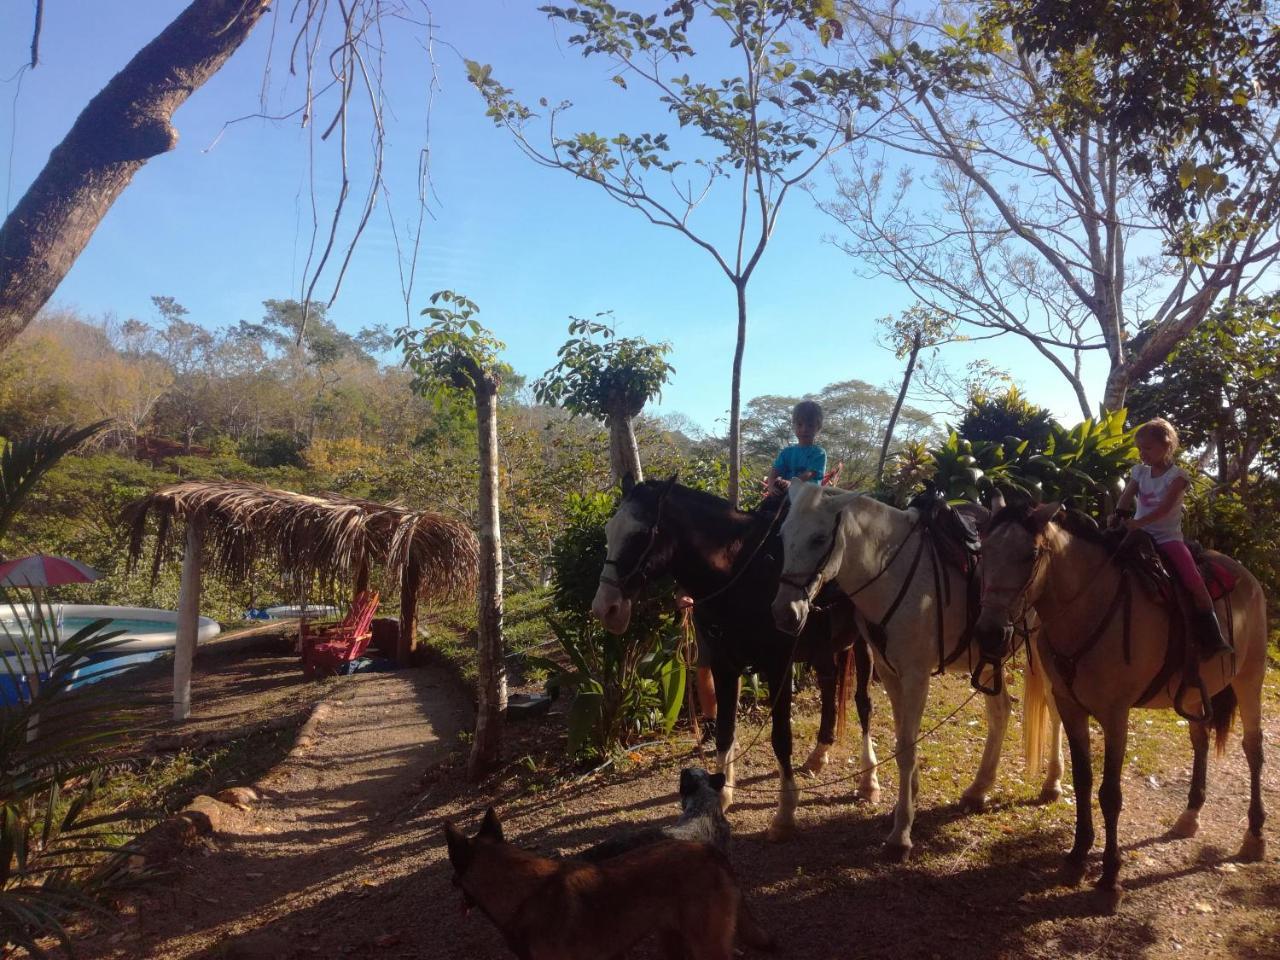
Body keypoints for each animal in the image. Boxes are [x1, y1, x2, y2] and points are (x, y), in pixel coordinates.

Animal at [591, 478, 880, 839]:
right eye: (608, 530)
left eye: (642, 533)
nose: (605, 608)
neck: (739, 575)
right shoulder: (724, 667)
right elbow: (725, 731)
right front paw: (723, 793)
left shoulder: (778, 667)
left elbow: (780, 737)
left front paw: (785, 813)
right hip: (824, 649)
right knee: (829, 685)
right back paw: (819, 754)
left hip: (863, 644)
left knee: (863, 704)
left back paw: (868, 781)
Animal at [768, 488, 1059, 865]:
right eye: (782, 535)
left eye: (819, 538)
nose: (783, 613)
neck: (892, 574)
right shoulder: (890, 673)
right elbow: (901, 739)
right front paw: (907, 804)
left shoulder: (917, 675)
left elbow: (906, 748)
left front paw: (901, 835)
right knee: (1001, 713)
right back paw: (978, 789)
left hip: (1042, 649)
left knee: (1055, 710)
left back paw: (1052, 784)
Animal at [972, 499, 1264, 906]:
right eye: (984, 551)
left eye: (1030, 555)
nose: (989, 632)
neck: (1090, 607)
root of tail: (1248, 578)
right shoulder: (1069, 706)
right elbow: (1082, 781)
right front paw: (1077, 855)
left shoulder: (1115, 716)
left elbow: (1109, 794)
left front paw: (1110, 875)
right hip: (1194, 693)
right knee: (1201, 740)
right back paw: (1190, 815)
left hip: (1250, 678)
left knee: (1253, 750)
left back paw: (1254, 835)